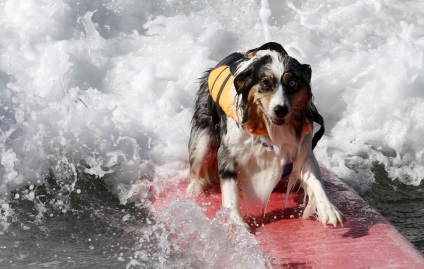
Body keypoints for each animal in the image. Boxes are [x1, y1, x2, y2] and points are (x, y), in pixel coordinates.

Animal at [186, 42, 344, 228]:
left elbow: (315, 178)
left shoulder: (302, 147)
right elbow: (231, 191)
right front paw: (236, 223)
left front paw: (329, 209)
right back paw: (194, 189)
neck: (269, 130)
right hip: (203, 140)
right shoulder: (228, 150)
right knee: (198, 164)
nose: (280, 109)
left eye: (292, 83)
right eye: (265, 83)